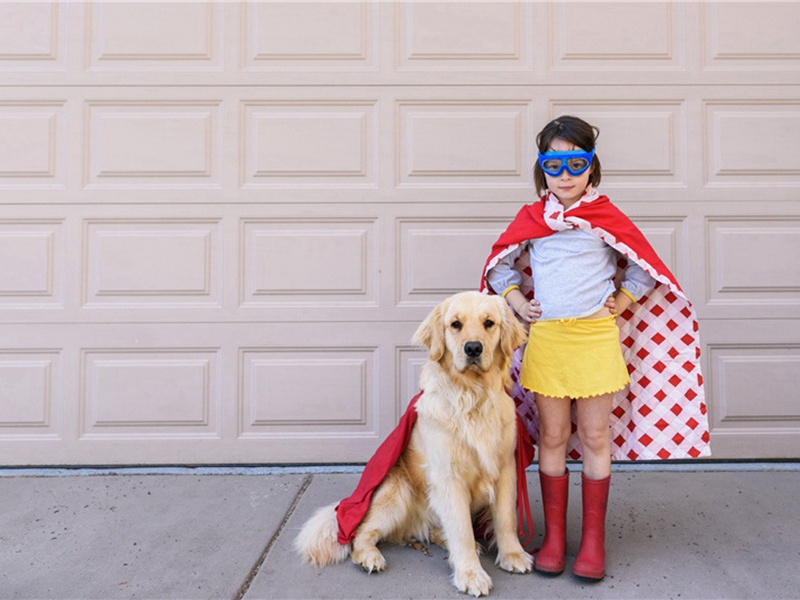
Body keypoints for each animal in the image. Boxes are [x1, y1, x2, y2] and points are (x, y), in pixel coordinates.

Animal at [294, 290, 532, 596]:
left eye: (489, 323)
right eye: (456, 324)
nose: (473, 348)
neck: (472, 397)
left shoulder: (504, 469)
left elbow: (506, 520)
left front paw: (513, 554)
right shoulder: (448, 479)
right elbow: (462, 532)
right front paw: (470, 574)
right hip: (396, 493)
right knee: (361, 532)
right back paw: (370, 557)